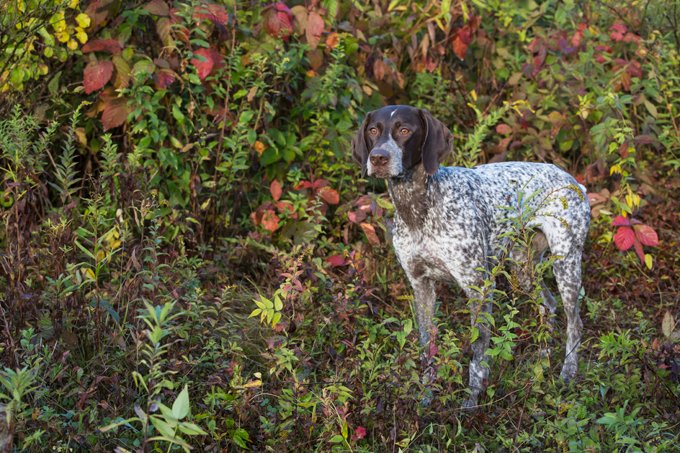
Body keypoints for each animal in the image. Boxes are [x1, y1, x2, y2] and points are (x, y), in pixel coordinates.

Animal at [350, 105, 588, 406]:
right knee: (548, 305)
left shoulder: (479, 287)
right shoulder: (421, 285)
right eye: (373, 130)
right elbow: (427, 343)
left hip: (566, 264)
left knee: (575, 322)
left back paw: (568, 373)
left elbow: (478, 349)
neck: (419, 207)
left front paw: (472, 399)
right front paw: (427, 394)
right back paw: (541, 361)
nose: (378, 157)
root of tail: (574, 181)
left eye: (405, 130)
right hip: (523, 268)